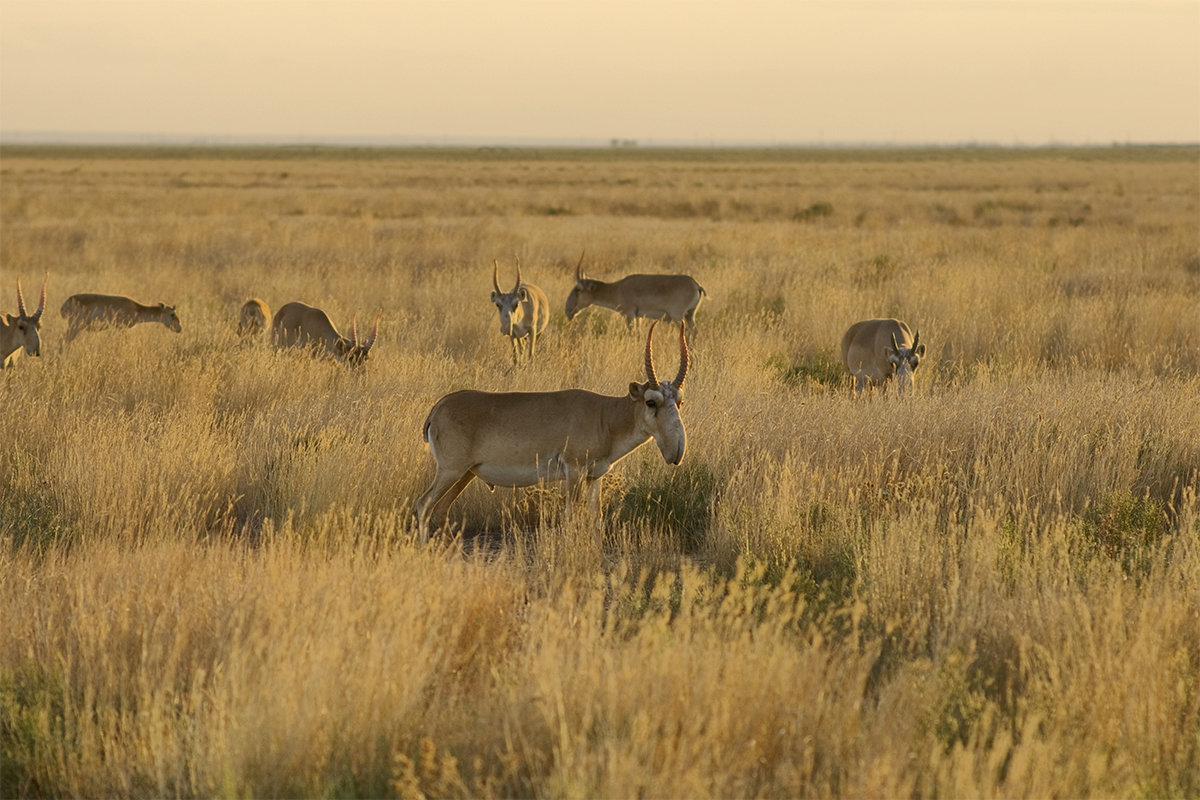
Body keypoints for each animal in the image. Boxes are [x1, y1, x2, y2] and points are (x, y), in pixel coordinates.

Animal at [417, 321, 691, 542]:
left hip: (465, 474)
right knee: (424, 504)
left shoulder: (595, 477)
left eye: (679, 401)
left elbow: (596, 519)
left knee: (440, 509)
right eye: (651, 401)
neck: (605, 415)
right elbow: (570, 518)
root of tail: (439, 407)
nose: (677, 451)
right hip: (451, 471)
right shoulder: (574, 472)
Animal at [561, 253, 700, 335]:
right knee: (694, 331)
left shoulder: (629, 315)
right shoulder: (638, 317)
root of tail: (696, 285)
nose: (567, 311)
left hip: (678, 317)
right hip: (689, 315)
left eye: (578, 290)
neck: (617, 288)